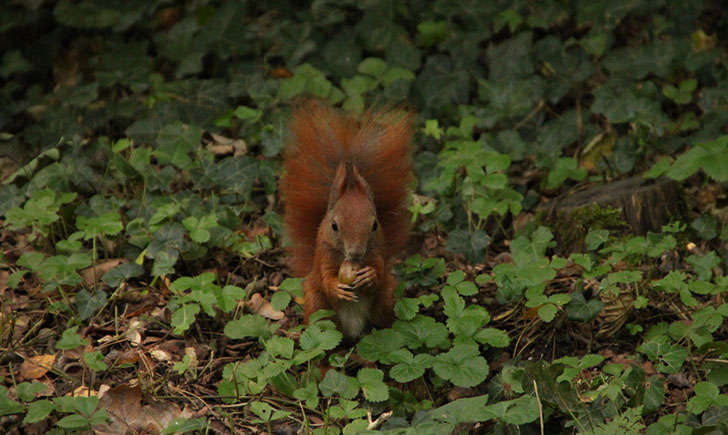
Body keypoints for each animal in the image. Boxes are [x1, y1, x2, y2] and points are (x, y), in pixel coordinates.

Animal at [280, 102, 412, 340]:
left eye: (375, 224)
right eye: (334, 226)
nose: (357, 252)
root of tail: (352, 331)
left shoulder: (377, 253)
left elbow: (379, 272)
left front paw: (369, 275)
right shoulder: (323, 256)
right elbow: (326, 278)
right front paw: (336, 287)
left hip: (386, 300)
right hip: (317, 304)